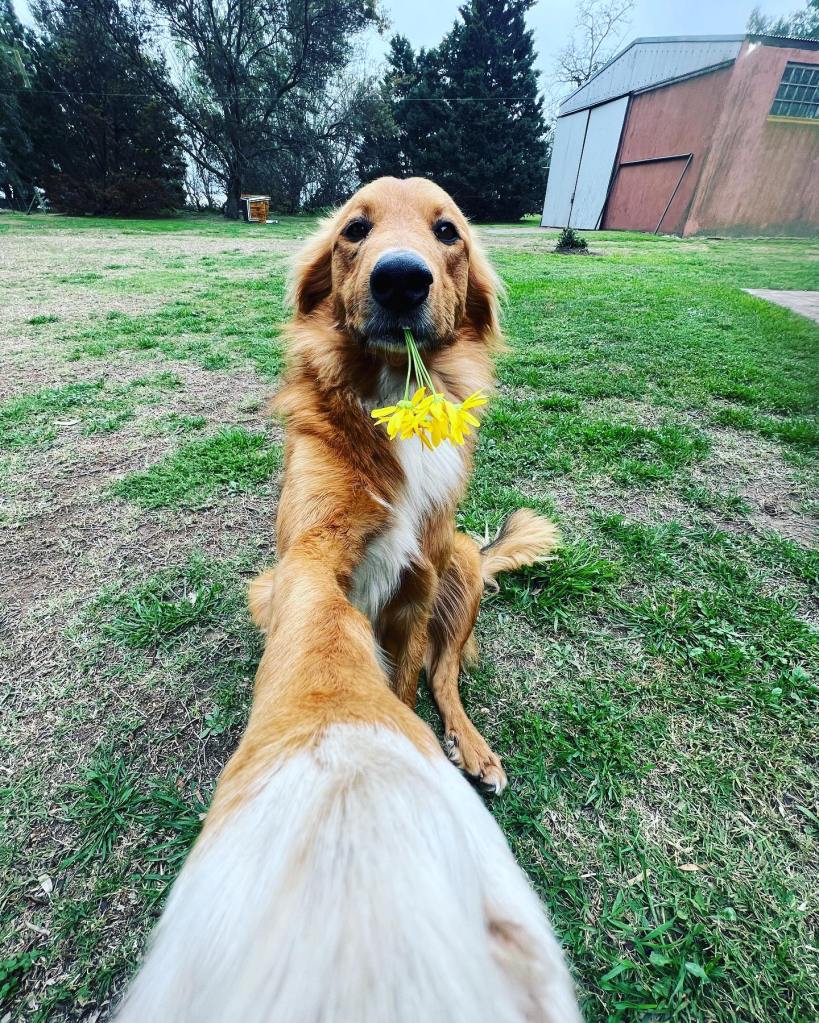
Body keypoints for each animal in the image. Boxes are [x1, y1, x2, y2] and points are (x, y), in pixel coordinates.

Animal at [113, 180, 576, 1018]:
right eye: (353, 230)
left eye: (448, 233)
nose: (401, 279)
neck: (394, 394)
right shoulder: (304, 561)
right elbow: (325, 655)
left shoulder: (419, 580)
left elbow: (408, 678)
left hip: (462, 559)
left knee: (446, 673)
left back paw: (471, 745)